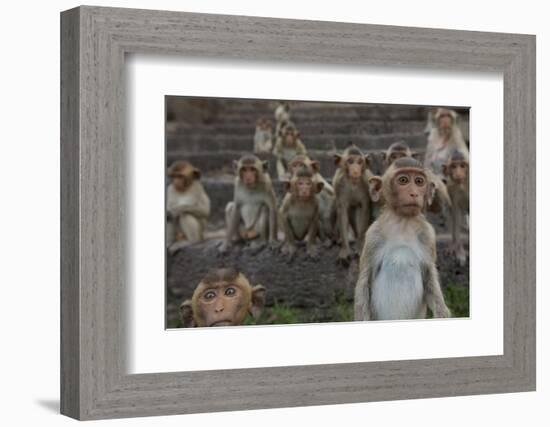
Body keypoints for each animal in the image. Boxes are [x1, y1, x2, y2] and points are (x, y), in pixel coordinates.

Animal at [358, 157, 452, 320]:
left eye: (419, 181)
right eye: (403, 180)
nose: (414, 193)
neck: (403, 222)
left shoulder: (428, 235)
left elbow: (429, 277)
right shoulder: (373, 236)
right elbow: (364, 281)